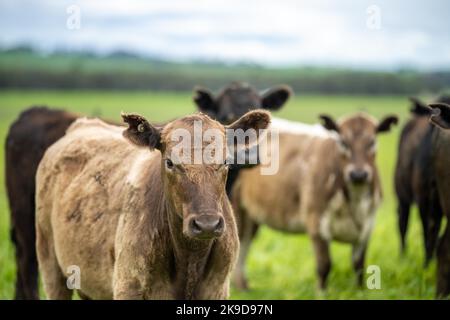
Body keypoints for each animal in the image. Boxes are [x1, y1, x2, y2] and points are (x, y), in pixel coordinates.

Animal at [6, 81, 292, 298]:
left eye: (224, 161)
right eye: (169, 162)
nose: (207, 224)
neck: (189, 261)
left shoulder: (218, 289)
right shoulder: (127, 286)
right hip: (44, 254)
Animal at [232, 112, 398, 290]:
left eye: (372, 142)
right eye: (343, 142)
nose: (358, 174)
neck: (355, 202)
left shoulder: (367, 227)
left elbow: (359, 266)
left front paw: (360, 291)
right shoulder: (316, 223)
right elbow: (324, 266)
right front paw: (321, 292)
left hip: (251, 214)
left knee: (245, 242)